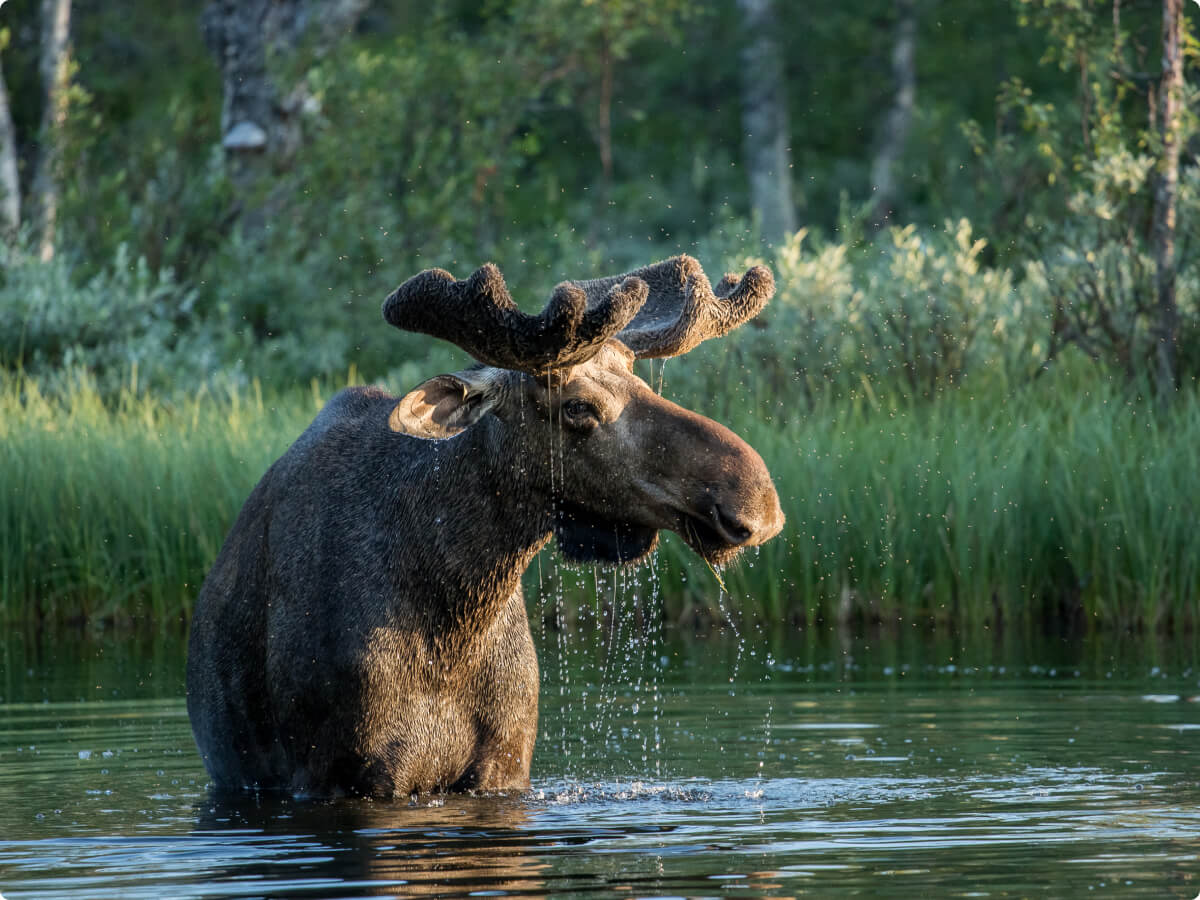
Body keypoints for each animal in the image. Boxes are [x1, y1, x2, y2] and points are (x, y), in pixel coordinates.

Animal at [184, 254, 787, 796]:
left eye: (642, 382)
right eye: (577, 407)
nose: (756, 501)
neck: (454, 612)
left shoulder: (505, 763)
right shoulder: (338, 774)